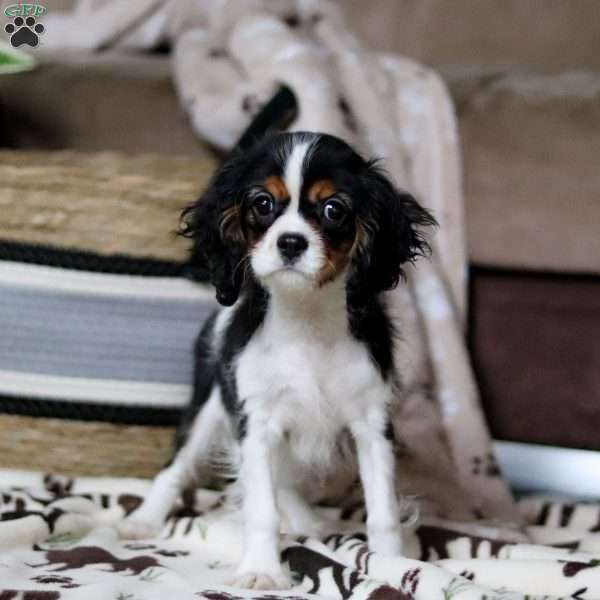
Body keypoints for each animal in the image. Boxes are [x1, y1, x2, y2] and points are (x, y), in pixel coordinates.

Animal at [117, 132, 436, 592]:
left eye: (333, 209)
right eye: (263, 204)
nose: (291, 242)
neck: (305, 320)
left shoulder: (372, 423)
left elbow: (382, 512)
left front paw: (390, 564)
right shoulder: (257, 420)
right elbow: (261, 509)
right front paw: (262, 571)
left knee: (281, 481)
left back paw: (309, 522)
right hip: (207, 403)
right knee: (176, 466)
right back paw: (143, 520)